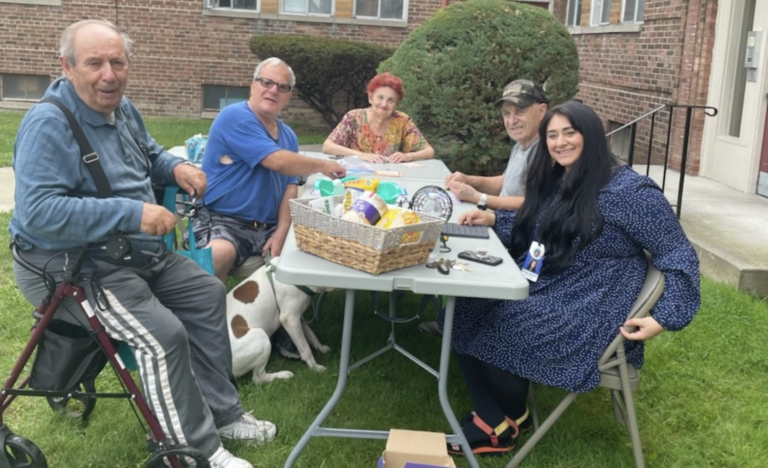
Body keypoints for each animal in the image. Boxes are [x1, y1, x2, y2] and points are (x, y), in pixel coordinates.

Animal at [225, 256, 328, 384]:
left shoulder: (298, 316)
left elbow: (311, 335)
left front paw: (321, 348)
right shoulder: (290, 318)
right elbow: (305, 348)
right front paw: (315, 368)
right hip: (261, 337)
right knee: (259, 378)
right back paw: (283, 375)